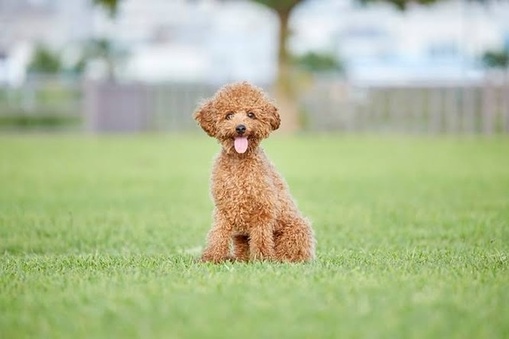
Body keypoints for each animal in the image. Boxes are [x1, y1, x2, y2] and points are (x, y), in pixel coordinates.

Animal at [193, 81, 316, 262]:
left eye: (251, 114)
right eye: (229, 115)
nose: (240, 128)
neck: (239, 161)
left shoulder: (263, 209)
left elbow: (261, 237)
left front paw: (262, 259)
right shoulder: (223, 209)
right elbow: (218, 234)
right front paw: (212, 257)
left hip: (296, 230)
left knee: (290, 252)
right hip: (240, 237)